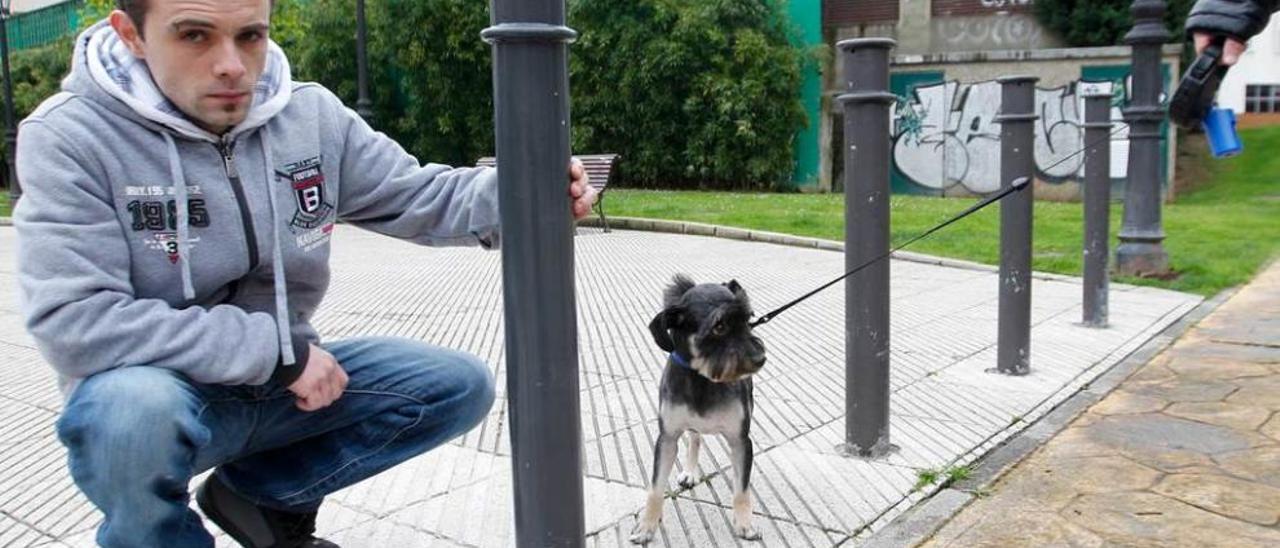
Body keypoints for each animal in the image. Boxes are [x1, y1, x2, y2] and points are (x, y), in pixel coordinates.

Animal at [632, 274, 768, 542]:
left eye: (748, 319)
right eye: (719, 326)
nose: (760, 359)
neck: (703, 377)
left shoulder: (740, 441)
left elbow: (741, 490)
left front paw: (745, 523)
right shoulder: (667, 438)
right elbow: (655, 488)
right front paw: (646, 526)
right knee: (695, 438)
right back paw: (690, 471)